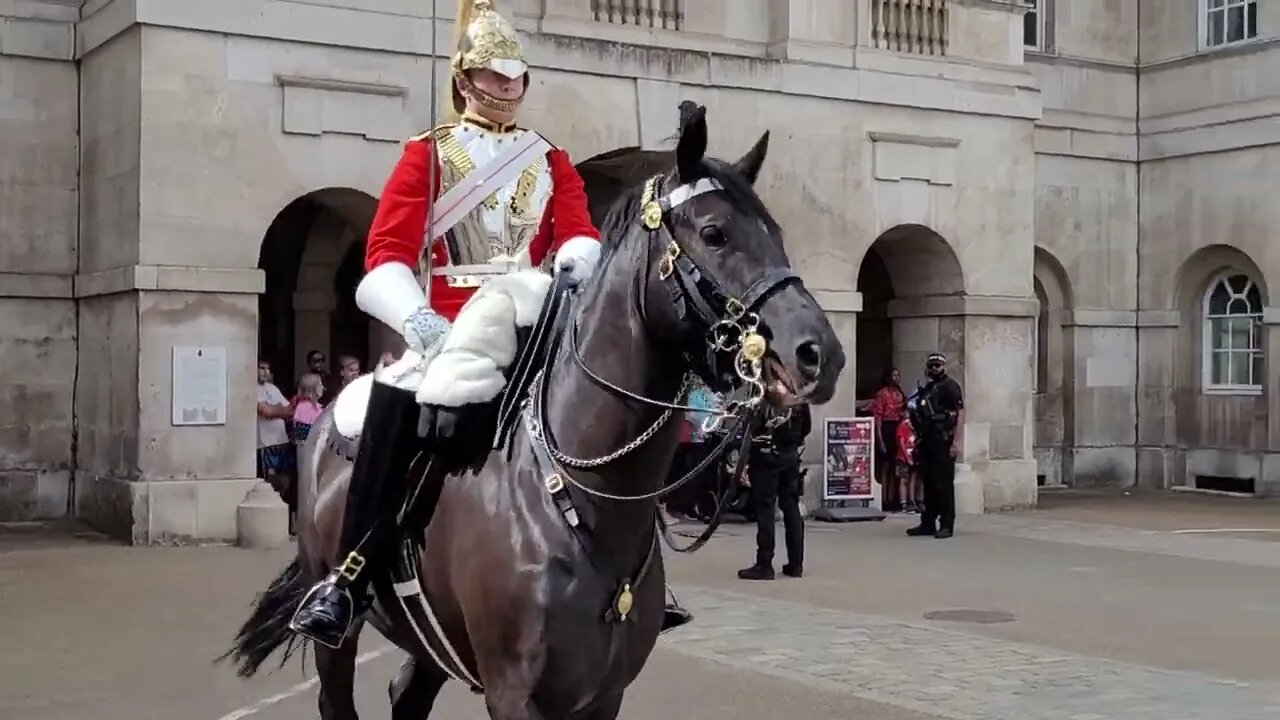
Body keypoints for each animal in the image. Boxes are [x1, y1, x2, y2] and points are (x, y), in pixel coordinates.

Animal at [225, 105, 844, 717]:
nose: (820, 354)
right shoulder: (513, 693)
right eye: (715, 233)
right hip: (338, 636)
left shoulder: (603, 696)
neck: (583, 497)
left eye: (777, 234)